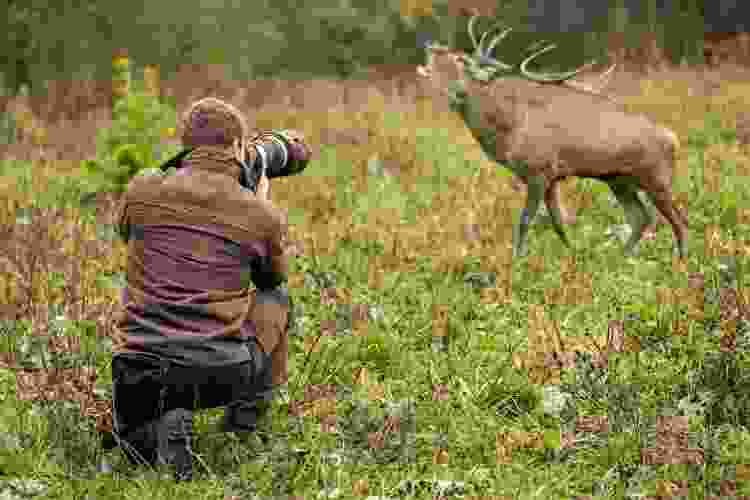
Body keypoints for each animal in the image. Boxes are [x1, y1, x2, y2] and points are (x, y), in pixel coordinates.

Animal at [420, 14, 692, 258]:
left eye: (458, 58)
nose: (432, 44)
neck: (507, 133)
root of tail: (673, 139)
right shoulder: (551, 178)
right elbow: (558, 223)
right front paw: (573, 254)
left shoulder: (537, 171)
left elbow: (525, 220)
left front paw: (516, 260)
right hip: (618, 179)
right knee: (641, 217)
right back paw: (621, 257)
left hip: (656, 177)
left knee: (679, 219)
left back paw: (681, 261)